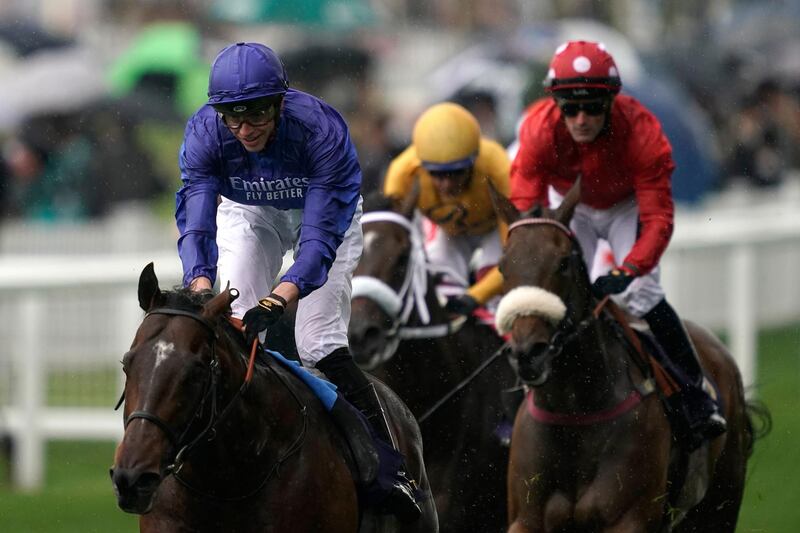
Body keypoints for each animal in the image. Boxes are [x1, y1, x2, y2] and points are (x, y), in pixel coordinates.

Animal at [490, 184, 760, 532]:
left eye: (563, 263)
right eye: (502, 266)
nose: (527, 353)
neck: (574, 409)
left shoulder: (629, 519)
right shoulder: (525, 520)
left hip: (719, 506)